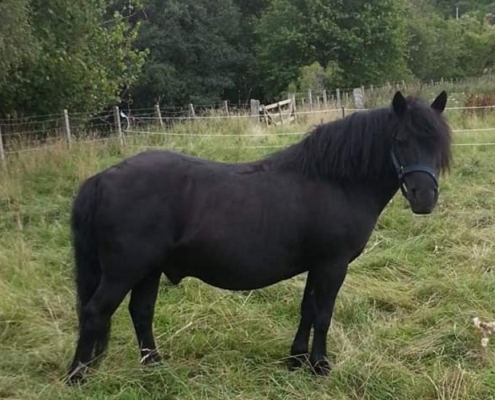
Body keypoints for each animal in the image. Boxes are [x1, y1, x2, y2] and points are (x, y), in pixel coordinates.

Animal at [66, 92, 454, 382]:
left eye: (438, 142)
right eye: (401, 140)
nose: (423, 197)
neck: (335, 180)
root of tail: (101, 179)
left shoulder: (316, 265)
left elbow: (308, 310)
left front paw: (296, 360)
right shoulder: (333, 265)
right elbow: (324, 314)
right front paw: (320, 366)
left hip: (148, 269)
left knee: (141, 312)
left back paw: (155, 367)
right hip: (124, 270)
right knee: (95, 311)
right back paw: (78, 377)